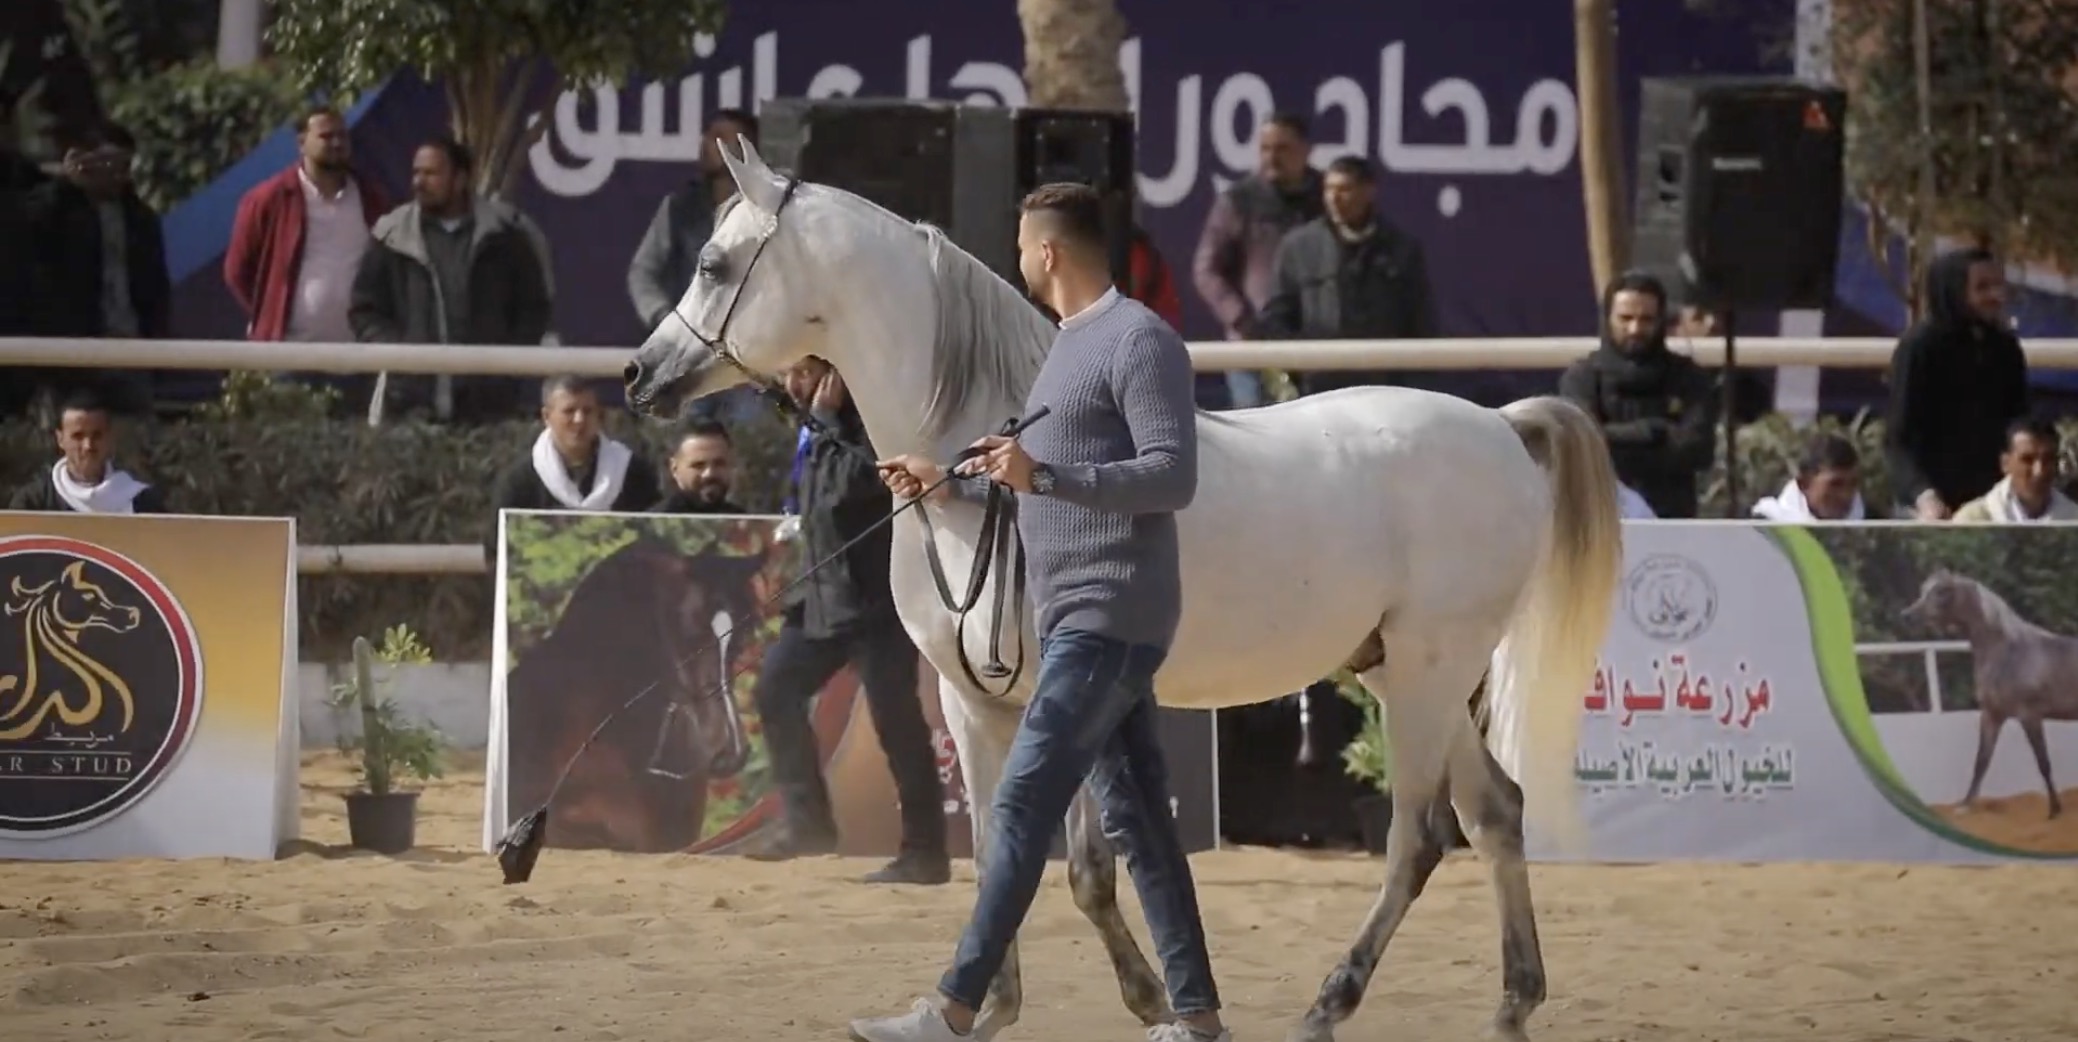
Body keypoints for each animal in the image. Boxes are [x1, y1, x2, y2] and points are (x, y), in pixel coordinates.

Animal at [621, 137, 1622, 1042]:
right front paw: (993, 1006)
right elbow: (999, 856)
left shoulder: (1058, 691)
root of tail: (1500, 424)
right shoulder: (972, 700)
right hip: (1404, 673)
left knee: (1419, 837)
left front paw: (1137, 999)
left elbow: (1079, 867)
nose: (639, 374)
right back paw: (1513, 1001)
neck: (974, 468)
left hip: (1425, 675)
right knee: (1497, 812)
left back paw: (1329, 1004)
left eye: (712, 264)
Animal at [1902, 568, 2078, 818]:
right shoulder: (1992, 715)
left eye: (1943, 591)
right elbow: (1981, 761)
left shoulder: (2030, 715)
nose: (1907, 616)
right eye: (1923, 589)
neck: (2008, 653)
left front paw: (2054, 811)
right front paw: (1965, 806)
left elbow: (2043, 762)